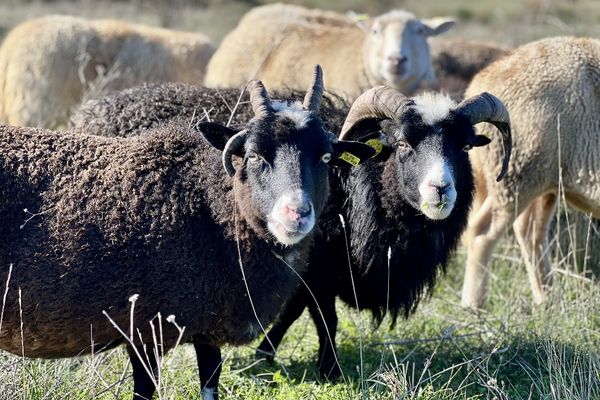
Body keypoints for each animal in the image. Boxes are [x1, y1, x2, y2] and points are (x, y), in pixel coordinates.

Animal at [462, 37, 596, 308]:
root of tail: (483, 78)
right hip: (517, 173)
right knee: (481, 233)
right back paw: (474, 305)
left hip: (544, 179)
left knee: (530, 232)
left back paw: (548, 299)